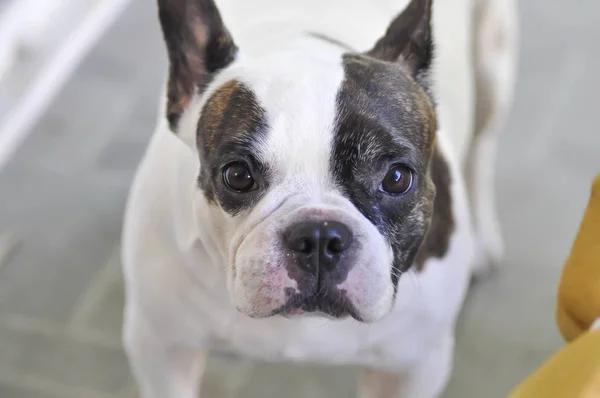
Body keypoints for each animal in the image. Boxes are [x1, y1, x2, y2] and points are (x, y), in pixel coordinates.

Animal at [120, 0, 516, 396]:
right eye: (237, 175)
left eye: (397, 178)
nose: (320, 236)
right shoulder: (162, 347)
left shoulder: (412, 368)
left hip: (493, 64)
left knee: (483, 144)